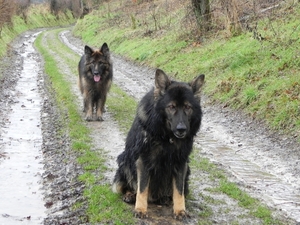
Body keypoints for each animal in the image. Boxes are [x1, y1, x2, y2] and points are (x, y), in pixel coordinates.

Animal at [111, 69, 205, 220]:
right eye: (171, 107)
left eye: (187, 107)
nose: (182, 129)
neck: (167, 137)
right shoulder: (143, 160)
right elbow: (142, 188)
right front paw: (140, 209)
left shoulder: (181, 163)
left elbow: (179, 191)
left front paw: (180, 210)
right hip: (125, 160)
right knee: (129, 186)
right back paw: (130, 195)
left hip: (187, 170)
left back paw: (166, 199)